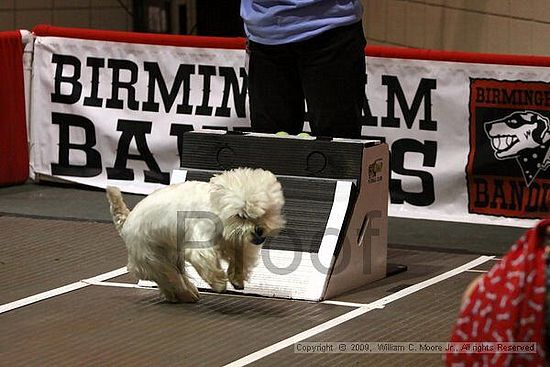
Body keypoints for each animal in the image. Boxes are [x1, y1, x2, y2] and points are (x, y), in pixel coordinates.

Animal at [106, 168, 286, 304]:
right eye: (241, 215)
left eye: (266, 213)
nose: (259, 231)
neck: (216, 208)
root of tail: (127, 220)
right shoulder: (200, 242)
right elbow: (207, 261)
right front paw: (220, 283)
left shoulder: (233, 241)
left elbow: (239, 259)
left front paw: (237, 279)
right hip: (152, 257)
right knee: (169, 277)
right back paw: (186, 294)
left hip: (171, 255)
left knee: (173, 277)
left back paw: (186, 294)